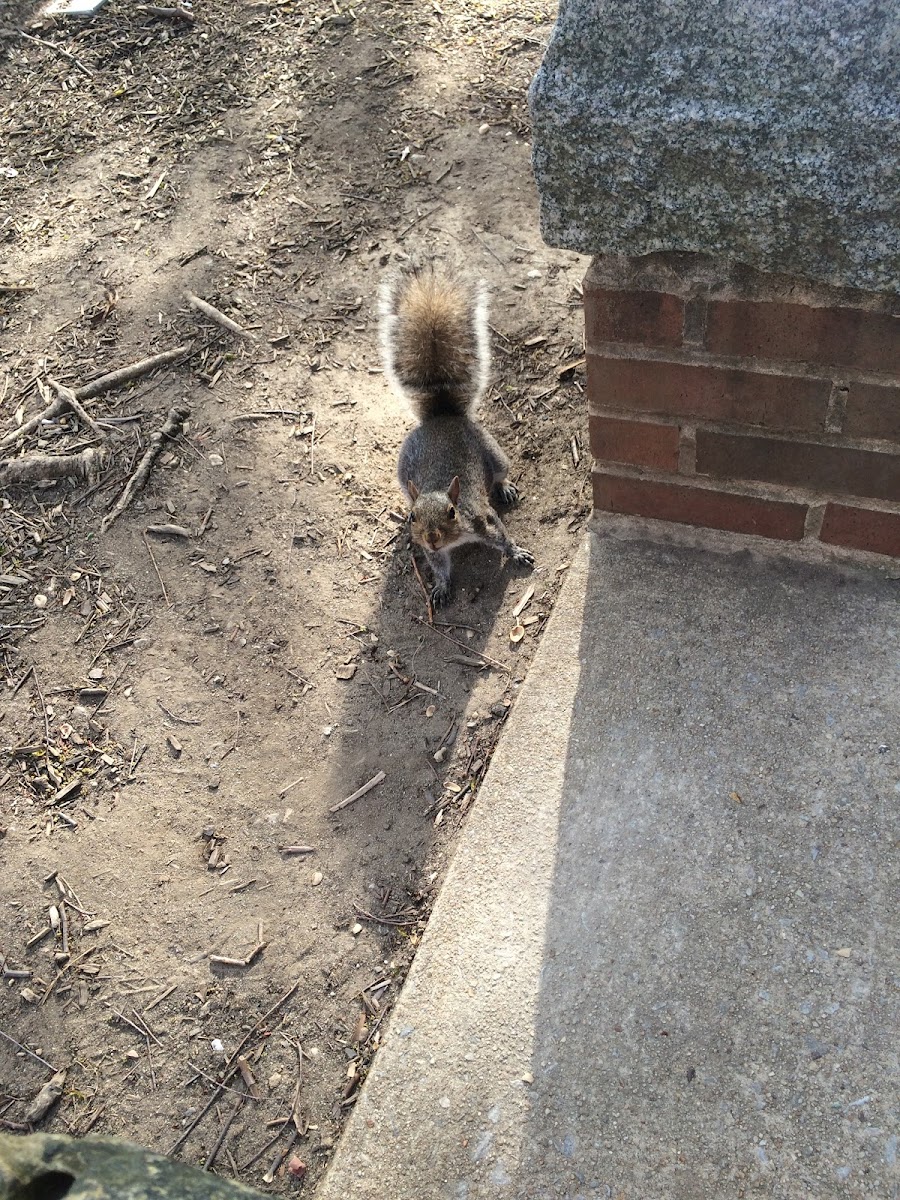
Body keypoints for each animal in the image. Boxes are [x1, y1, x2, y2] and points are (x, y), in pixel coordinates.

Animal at [379, 256, 535, 604]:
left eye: (452, 512)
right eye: (414, 518)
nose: (431, 537)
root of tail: (443, 417)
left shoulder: (484, 520)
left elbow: (503, 538)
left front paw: (517, 553)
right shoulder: (435, 552)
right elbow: (439, 566)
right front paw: (440, 587)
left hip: (494, 451)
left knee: (500, 472)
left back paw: (504, 487)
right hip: (403, 473)